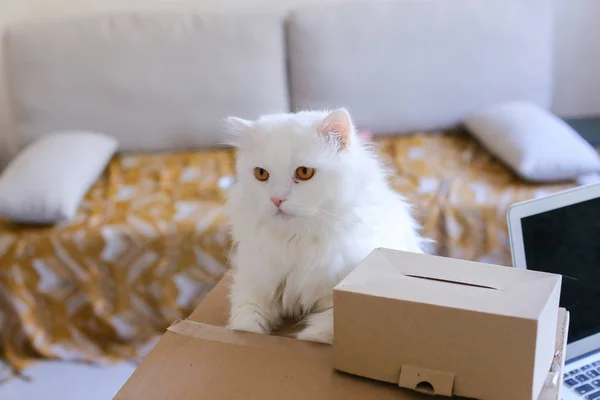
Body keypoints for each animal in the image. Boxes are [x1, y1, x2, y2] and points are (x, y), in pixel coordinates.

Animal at [225, 109, 426, 344]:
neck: (297, 242)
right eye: (261, 174)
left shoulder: (338, 302)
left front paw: (306, 337)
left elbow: (321, 331)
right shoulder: (252, 286)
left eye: (304, 172)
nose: (276, 199)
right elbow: (245, 323)